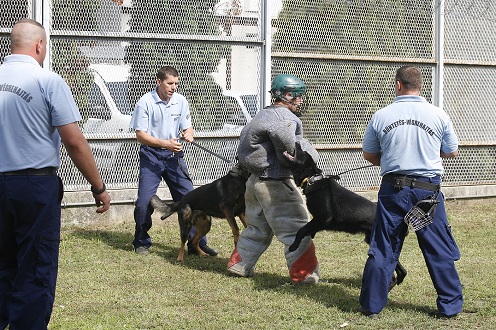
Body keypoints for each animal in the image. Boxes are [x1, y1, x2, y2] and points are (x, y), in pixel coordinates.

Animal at [282, 142, 406, 292]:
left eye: (302, 152)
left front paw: (294, 246)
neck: (312, 180)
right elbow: (307, 229)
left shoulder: (323, 218)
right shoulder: (318, 220)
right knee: (401, 271)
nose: (297, 143)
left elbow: (301, 230)